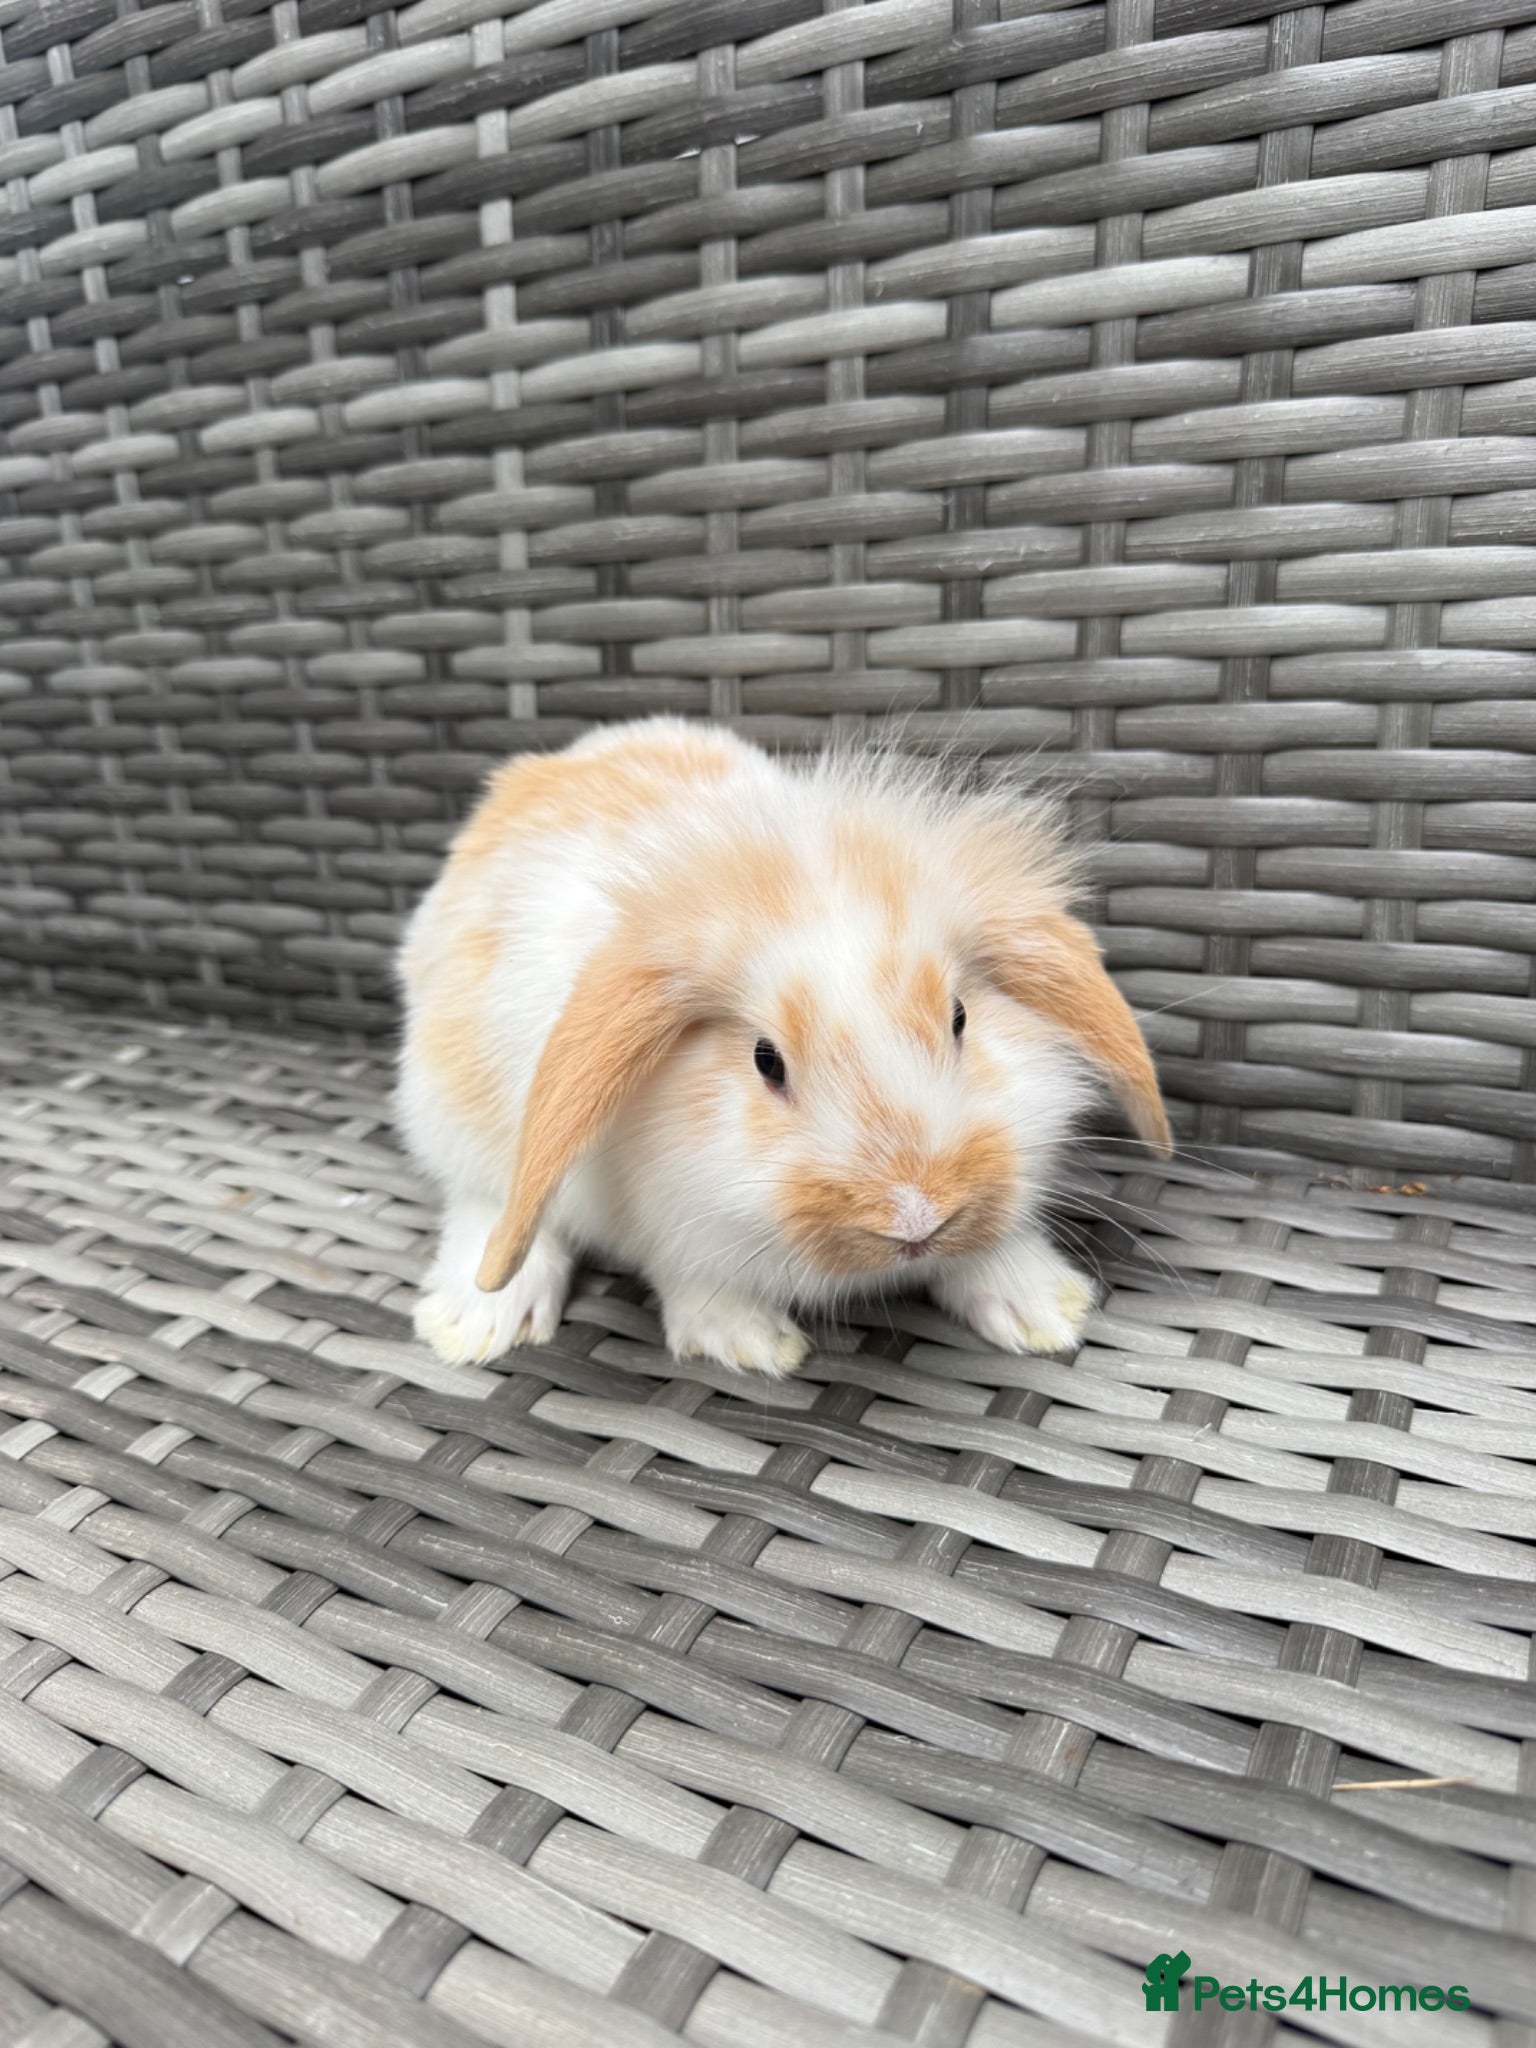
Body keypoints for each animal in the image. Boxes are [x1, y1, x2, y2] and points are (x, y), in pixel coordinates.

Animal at [396, 717, 1170, 1376]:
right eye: (765, 1060)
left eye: (958, 1018)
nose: (916, 1219)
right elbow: (690, 1272)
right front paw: (750, 1341)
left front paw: (1042, 1307)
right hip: (456, 1117)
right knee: (485, 1204)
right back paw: (479, 1321)